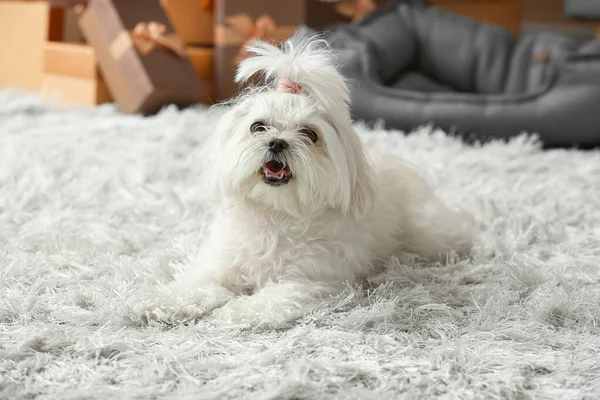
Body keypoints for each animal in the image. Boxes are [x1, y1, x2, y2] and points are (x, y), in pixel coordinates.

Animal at [138, 36, 476, 328]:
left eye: (310, 134)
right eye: (257, 127)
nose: (277, 142)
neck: (276, 215)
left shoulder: (308, 280)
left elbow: (270, 299)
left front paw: (234, 313)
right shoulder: (223, 261)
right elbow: (195, 284)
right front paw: (158, 303)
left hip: (427, 232)